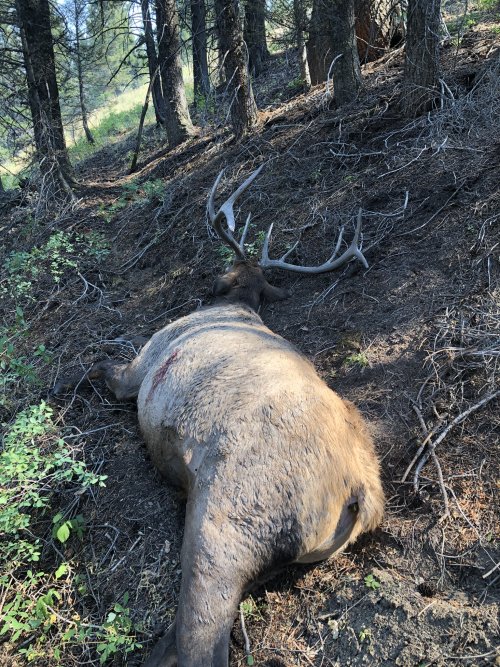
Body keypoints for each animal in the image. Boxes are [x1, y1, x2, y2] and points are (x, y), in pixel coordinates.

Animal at [54, 165, 384, 667]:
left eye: (228, 267)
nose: (210, 278)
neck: (235, 305)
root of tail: (360, 493)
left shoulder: (141, 366)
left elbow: (97, 366)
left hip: (226, 523)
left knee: (200, 639)